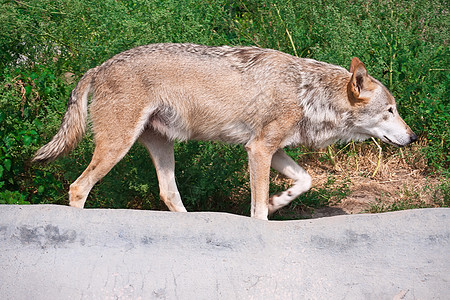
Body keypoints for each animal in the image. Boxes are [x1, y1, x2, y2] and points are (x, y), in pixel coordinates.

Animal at [33, 42, 416, 220]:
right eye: (390, 111)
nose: (413, 137)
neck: (306, 92)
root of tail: (97, 67)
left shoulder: (273, 150)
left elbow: (306, 181)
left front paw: (279, 200)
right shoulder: (259, 150)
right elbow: (258, 210)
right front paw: (267, 210)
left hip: (161, 148)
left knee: (169, 195)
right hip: (117, 147)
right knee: (78, 187)